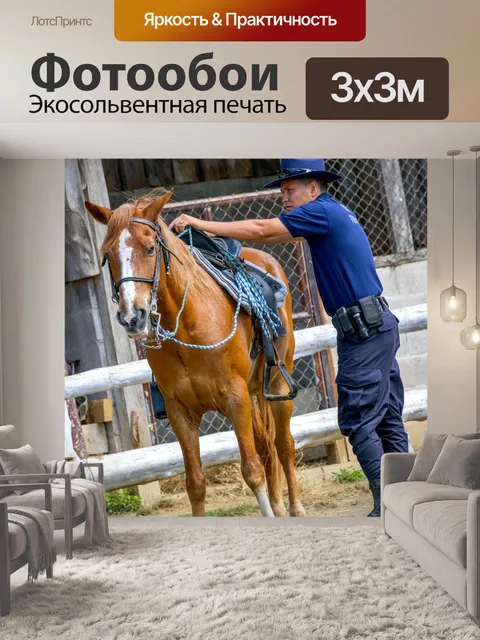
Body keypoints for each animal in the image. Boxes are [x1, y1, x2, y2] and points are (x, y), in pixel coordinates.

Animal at [85, 189, 306, 517]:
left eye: (150, 249)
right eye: (108, 255)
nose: (131, 317)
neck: (188, 326)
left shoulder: (235, 397)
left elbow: (251, 471)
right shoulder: (180, 412)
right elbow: (196, 483)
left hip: (278, 383)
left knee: (283, 443)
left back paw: (296, 508)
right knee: (267, 445)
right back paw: (279, 508)